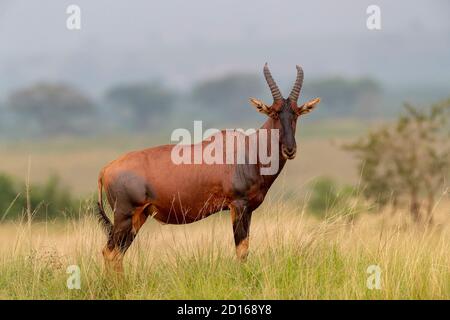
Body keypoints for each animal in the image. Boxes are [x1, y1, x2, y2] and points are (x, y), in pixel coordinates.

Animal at [96, 63, 320, 272]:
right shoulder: (238, 205)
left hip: (138, 217)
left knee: (116, 253)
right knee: (110, 252)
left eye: (296, 113)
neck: (248, 149)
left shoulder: (248, 210)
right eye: (273, 113)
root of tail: (106, 169)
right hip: (124, 215)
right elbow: (241, 251)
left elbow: (245, 249)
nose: (290, 149)